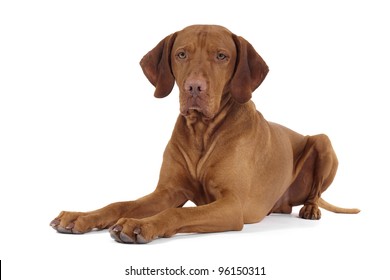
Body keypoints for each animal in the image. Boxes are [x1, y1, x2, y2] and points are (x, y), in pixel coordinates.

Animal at [49, 24, 360, 243]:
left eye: (222, 56)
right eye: (181, 54)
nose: (194, 88)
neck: (202, 132)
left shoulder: (232, 205)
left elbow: (179, 211)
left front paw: (140, 225)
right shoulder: (167, 191)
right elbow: (121, 203)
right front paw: (80, 217)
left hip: (323, 142)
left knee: (315, 192)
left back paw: (311, 209)